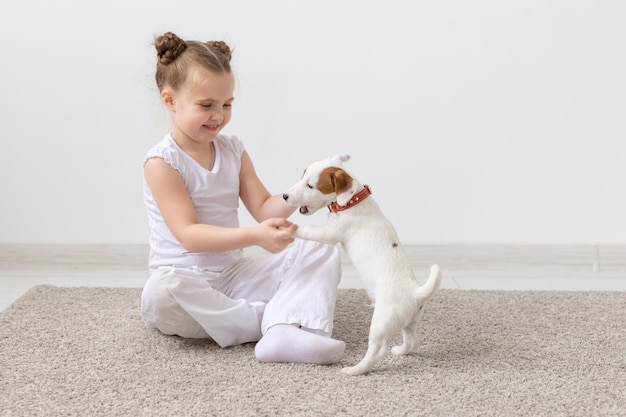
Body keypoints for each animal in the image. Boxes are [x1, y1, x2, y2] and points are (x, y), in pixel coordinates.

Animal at [282, 154, 438, 376]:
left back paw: (355, 370)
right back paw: (400, 350)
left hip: (381, 322)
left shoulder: (329, 233)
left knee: (377, 352)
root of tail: (416, 293)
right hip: (409, 321)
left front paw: (289, 227)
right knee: (412, 341)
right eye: (301, 177)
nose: (284, 196)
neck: (351, 201)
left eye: (310, 185)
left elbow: (308, 230)